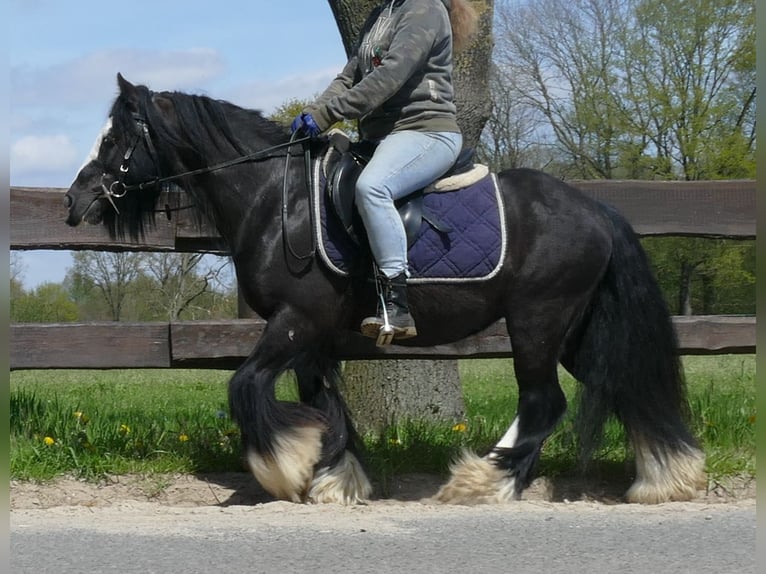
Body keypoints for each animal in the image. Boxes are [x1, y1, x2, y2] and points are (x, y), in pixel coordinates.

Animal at [64, 75, 708, 504]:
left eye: (115, 137)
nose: (76, 201)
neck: (277, 199)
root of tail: (596, 210)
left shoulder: (295, 321)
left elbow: (245, 385)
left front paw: (285, 469)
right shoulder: (314, 335)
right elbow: (325, 404)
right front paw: (333, 477)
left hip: (537, 322)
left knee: (544, 402)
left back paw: (484, 480)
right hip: (575, 330)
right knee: (619, 384)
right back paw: (664, 477)